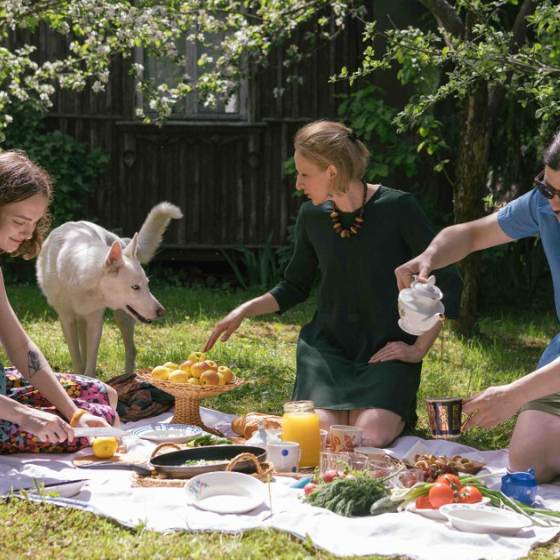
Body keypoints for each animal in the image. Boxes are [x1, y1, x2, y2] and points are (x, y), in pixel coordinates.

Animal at [35, 201, 184, 376]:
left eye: (147, 284)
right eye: (135, 287)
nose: (161, 312)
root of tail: (119, 239)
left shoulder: (95, 320)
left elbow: (90, 364)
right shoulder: (66, 319)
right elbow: (78, 361)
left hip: (122, 317)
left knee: (131, 350)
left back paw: (128, 378)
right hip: (85, 319)